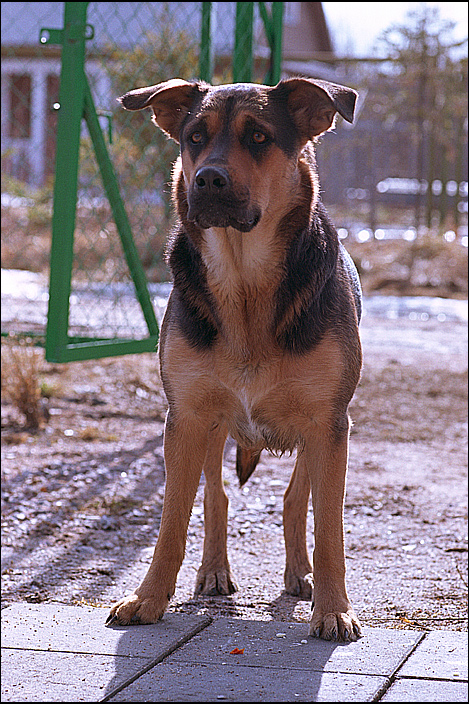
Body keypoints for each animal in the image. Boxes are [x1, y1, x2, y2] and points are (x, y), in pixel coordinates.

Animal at [107, 77, 362, 644]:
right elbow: (173, 520)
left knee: (295, 500)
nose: (207, 179)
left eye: (260, 136)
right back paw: (214, 572)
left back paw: (300, 575)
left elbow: (329, 526)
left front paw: (333, 609)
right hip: (210, 424)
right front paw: (148, 598)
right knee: (217, 497)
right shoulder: (185, 418)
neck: (244, 281)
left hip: (317, 432)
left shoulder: (328, 422)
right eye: (194, 137)